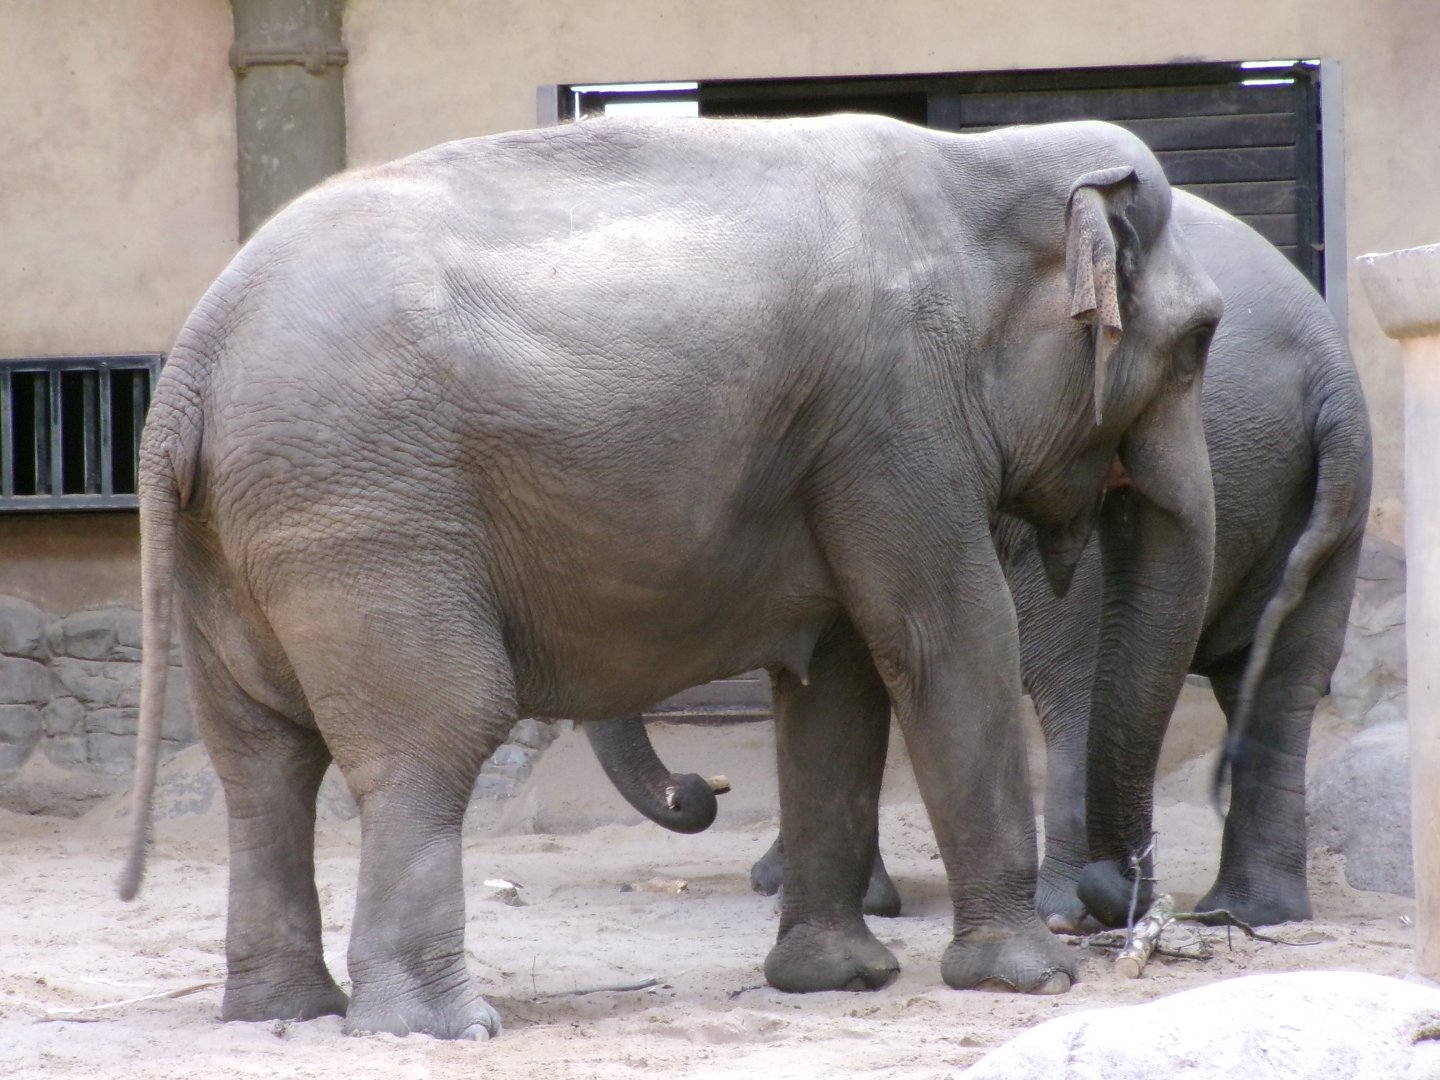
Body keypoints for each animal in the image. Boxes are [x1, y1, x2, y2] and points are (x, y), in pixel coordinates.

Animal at [118, 113, 1222, 1040]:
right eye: (1199, 341)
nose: (1120, 927)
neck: (980, 161)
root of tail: (192, 361)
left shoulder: (852, 437)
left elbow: (838, 678)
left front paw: (839, 980)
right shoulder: (896, 411)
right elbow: (946, 636)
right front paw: (1031, 979)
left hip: (238, 538)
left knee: (261, 761)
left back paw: (286, 1012)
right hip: (367, 510)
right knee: (429, 739)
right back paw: (436, 1030)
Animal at [589, 187, 1371, 931]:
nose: (699, 791)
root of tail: (1327, 360)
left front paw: (803, 889)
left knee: (1081, 681)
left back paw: (1065, 911)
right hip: (1321, 503)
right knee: (1276, 681)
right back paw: (1245, 911)